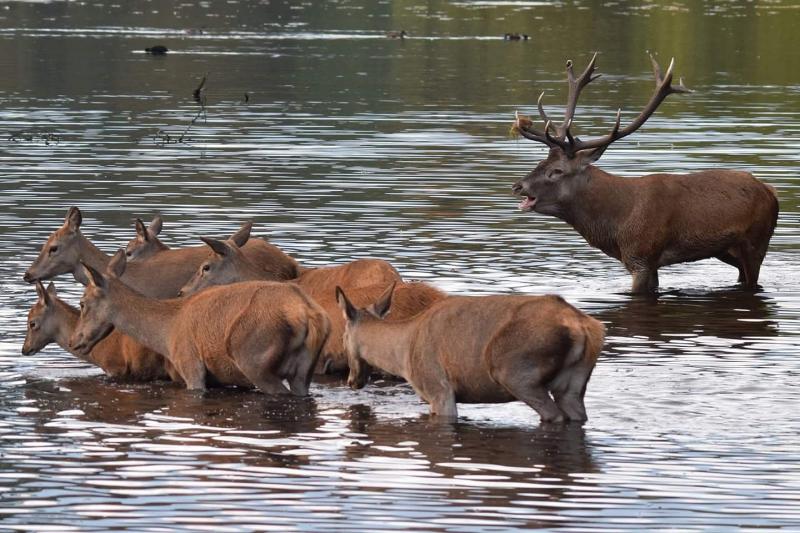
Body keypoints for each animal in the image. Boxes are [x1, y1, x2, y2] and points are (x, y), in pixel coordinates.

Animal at [69, 250, 328, 394]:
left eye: (82, 303)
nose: (73, 340)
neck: (165, 333)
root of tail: (308, 315)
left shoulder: (190, 365)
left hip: (255, 360)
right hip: (304, 371)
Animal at [334, 282, 604, 424]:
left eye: (344, 337)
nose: (351, 381)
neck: (401, 357)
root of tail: (583, 326)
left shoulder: (438, 389)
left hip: (515, 372)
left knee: (553, 415)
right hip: (573, 384)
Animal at [510, 53, 780, 294]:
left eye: (556, 171)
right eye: (540, 162)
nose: (518, 186)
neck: (616, 224)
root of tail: (771, 192)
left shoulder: (642, 256)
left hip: (756, 242)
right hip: (727, 251)